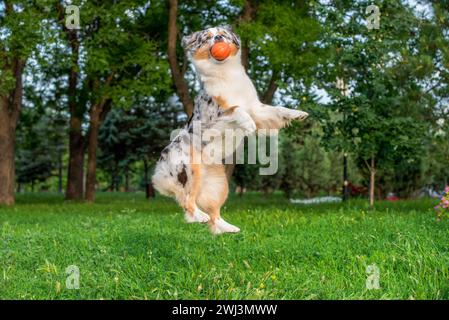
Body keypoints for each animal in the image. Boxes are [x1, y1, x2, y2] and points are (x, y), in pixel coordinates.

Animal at [152, 26, 306, 234]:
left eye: (222, 34)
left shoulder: (256, 109)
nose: (218, 38)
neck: (224, 72)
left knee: (213, 212)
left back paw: (227, 227)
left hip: (219, 184)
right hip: (189, 170)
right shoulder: (215, 118)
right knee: (186, 201)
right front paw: (248, 124)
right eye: (207, 37)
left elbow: (277, 110)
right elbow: (237, 109)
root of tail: (160, 164)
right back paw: (199, 216)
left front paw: (298, 113)